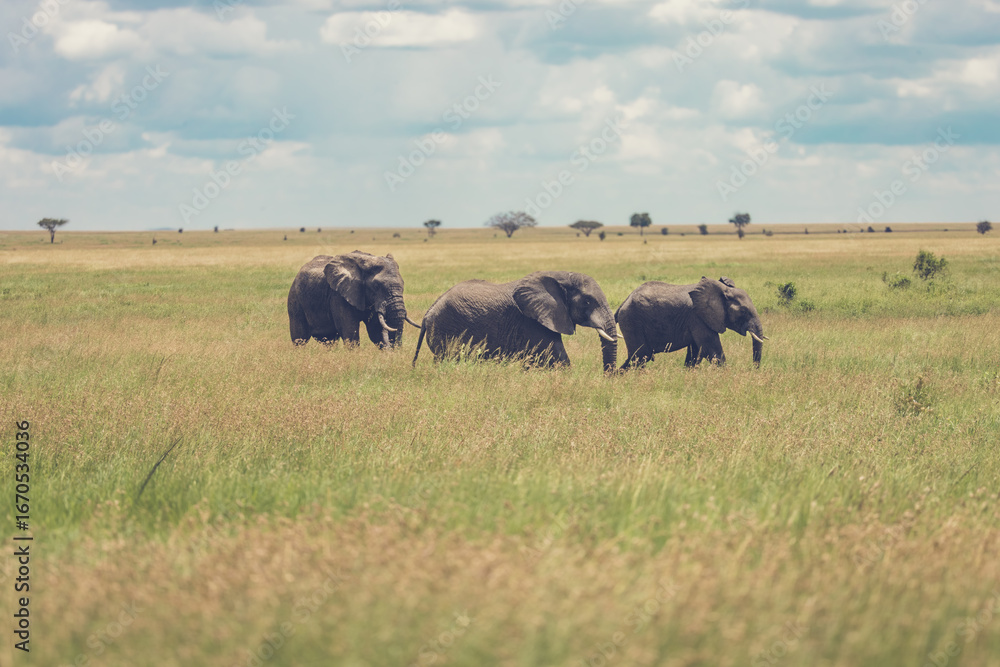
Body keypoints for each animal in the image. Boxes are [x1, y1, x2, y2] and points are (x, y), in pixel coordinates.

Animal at [287, 251, 419, 348]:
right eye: (377, 286)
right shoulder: (339, 295)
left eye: (403, 285)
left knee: (329, 340)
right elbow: (350, 331)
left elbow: (375, 330)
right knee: (300, 338)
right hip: (295, 298)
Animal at [412, 271, 618, 372]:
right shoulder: (531, 321)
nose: (609, 377)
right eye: (587, 301)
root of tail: (428, 313)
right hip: (445, 330)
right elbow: (556, 358)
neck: (560, 277)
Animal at [615, 276, 766, 369]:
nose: (754, 369)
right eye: (744, 312)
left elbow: (695, 353)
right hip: (632, 321)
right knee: (640, 357)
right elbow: (712, 351)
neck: (724, 290)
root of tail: (624, 301)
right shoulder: (697, 317)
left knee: (635, 358)